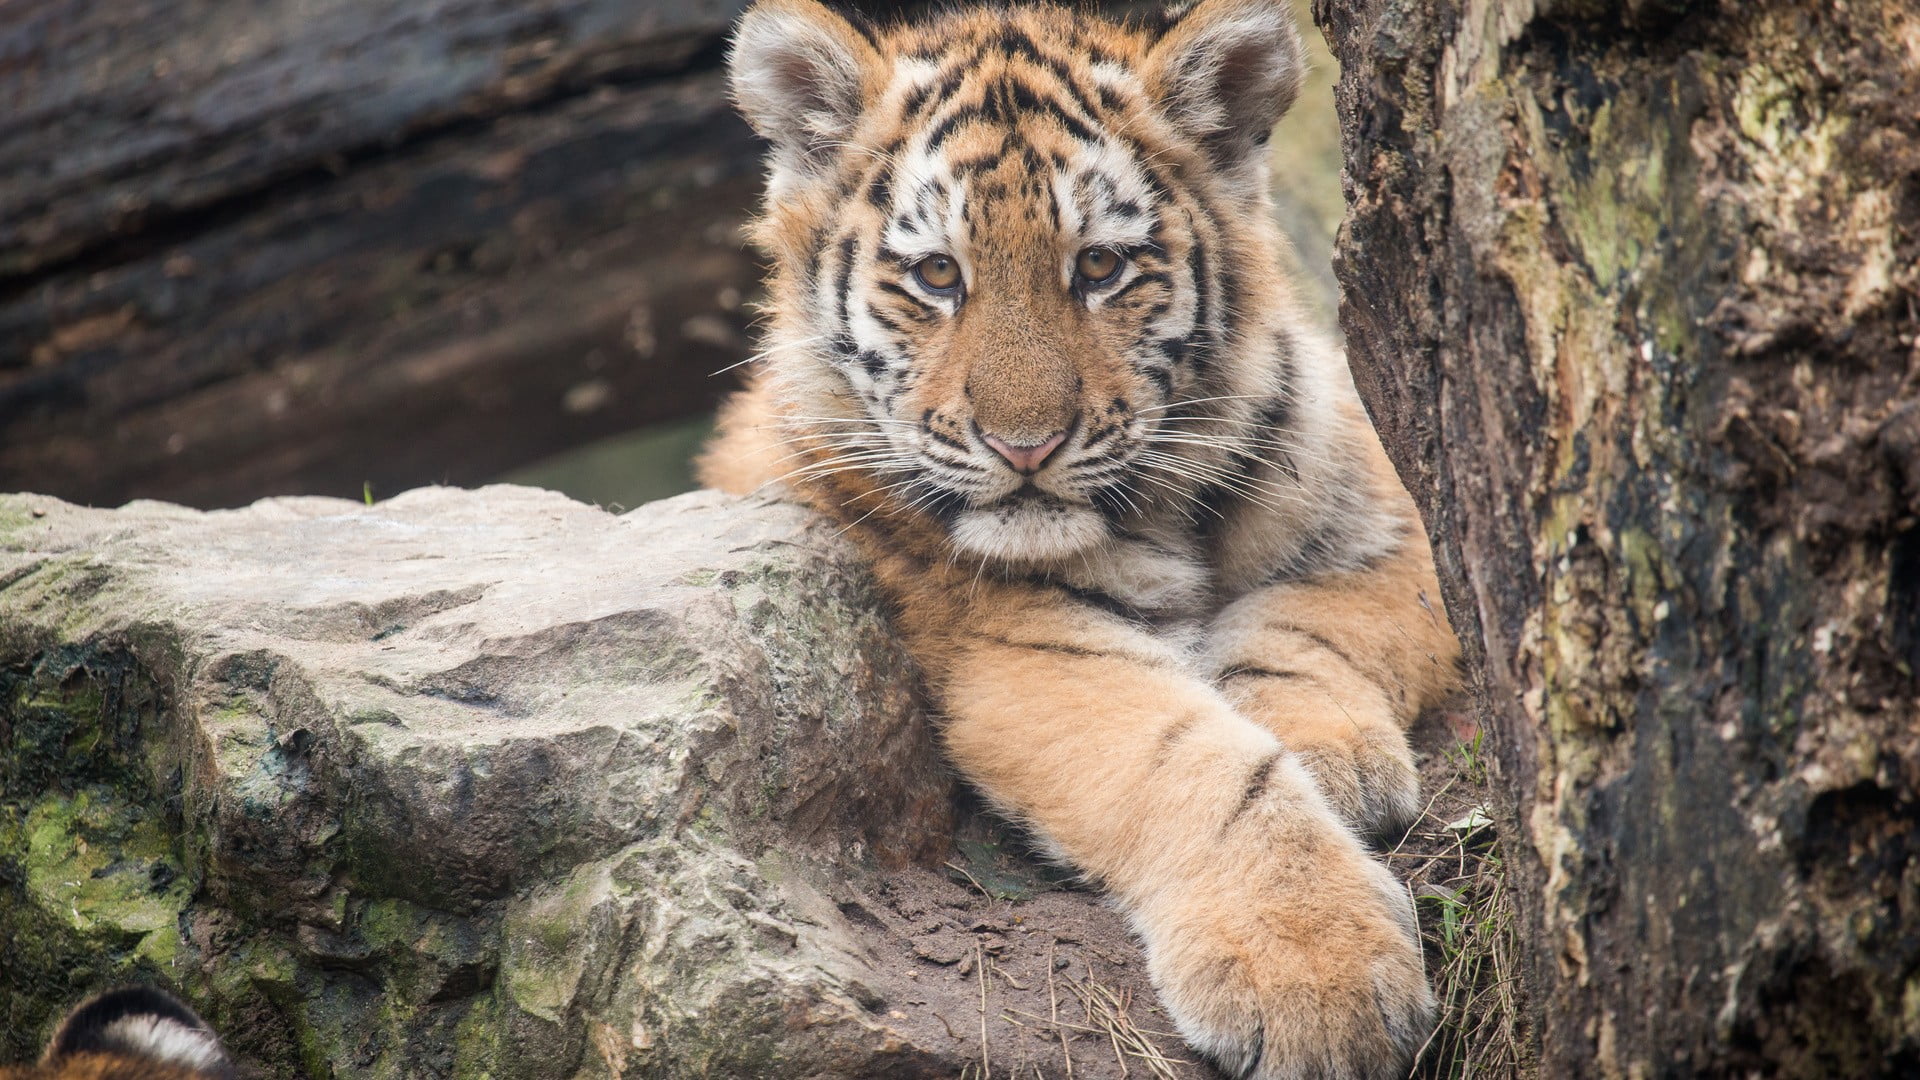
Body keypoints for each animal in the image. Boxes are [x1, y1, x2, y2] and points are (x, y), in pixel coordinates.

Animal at [698, 1, 1463, 1076]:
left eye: (1099, 266)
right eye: (938, 275)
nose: (1025, 444)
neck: (1167, 510)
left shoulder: (1401, 527)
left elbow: (1306, 627)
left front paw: (1332, 753)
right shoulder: (1018, 646)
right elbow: (1196, 763)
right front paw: (1318, 972)